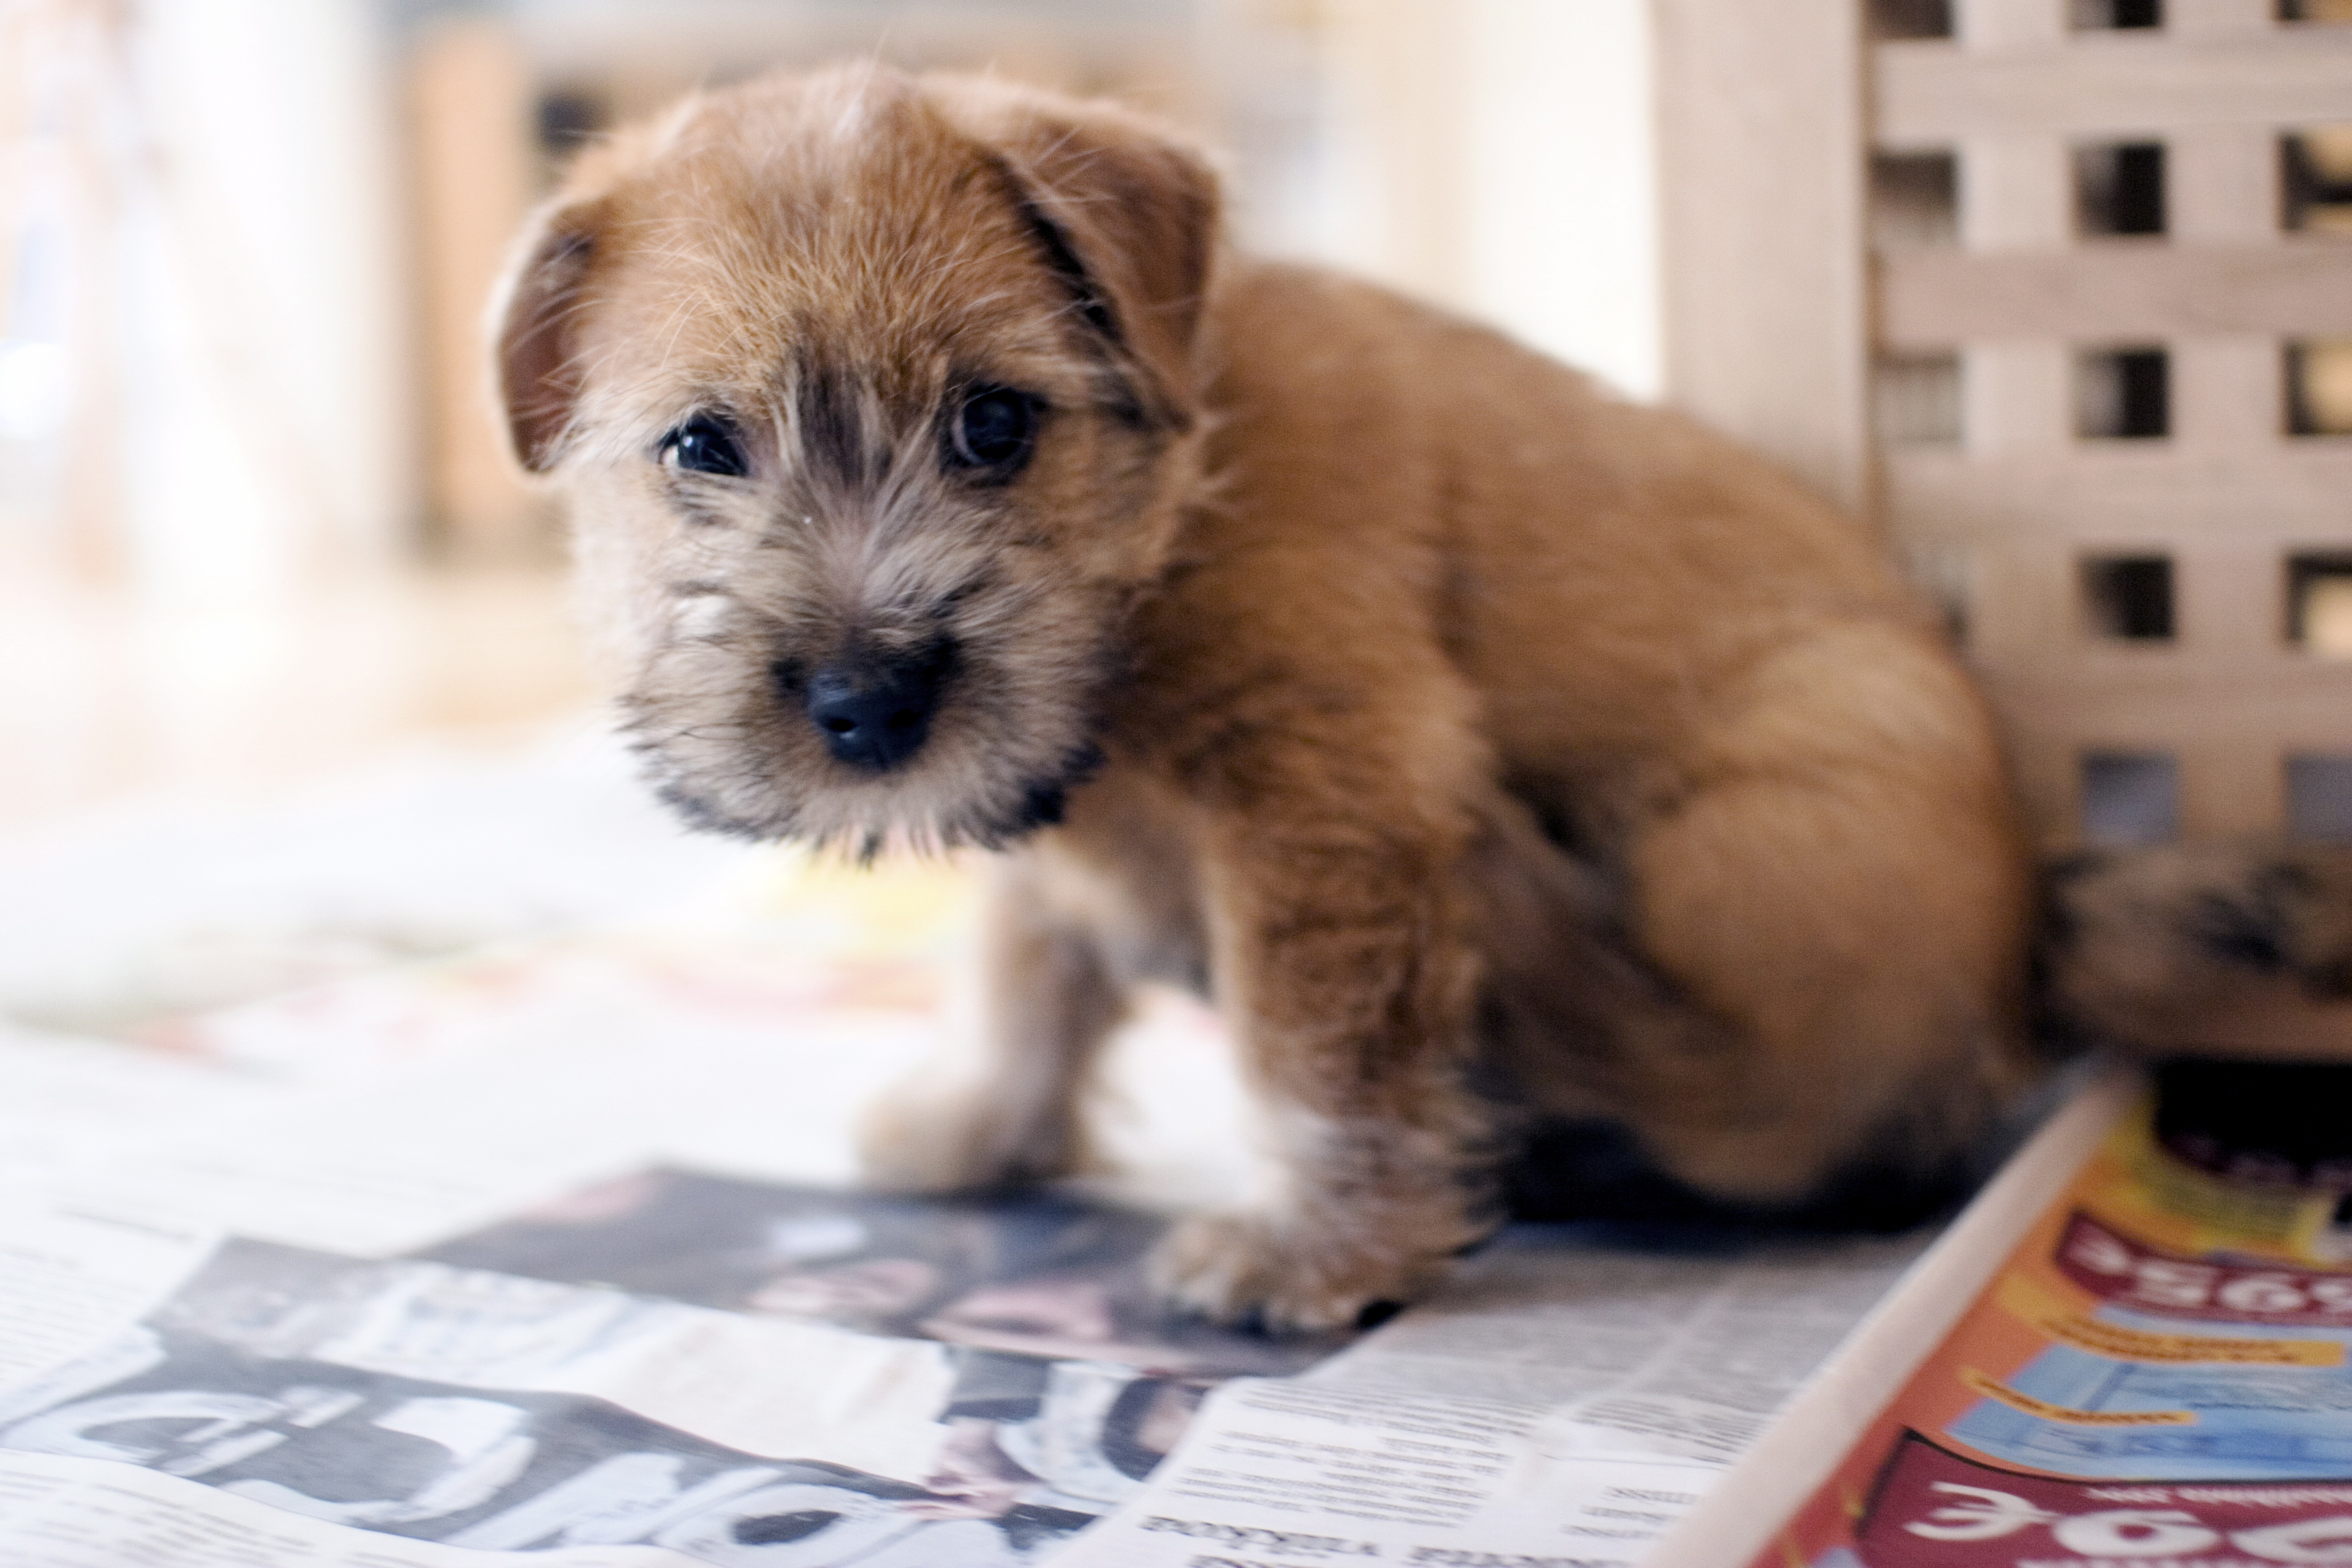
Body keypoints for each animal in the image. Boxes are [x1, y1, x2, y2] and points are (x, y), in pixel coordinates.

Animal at [496, 67, 2041, 1335]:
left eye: (993, 423)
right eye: (701, 445)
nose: (866, 703)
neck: (1168, 515)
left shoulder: (1326, 797)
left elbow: (1314, 1053)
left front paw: (1308, 1251)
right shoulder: (1049, 824)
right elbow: (1020, 964)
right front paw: (977, 1124)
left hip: (1762, 829)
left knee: (1755, 1103)